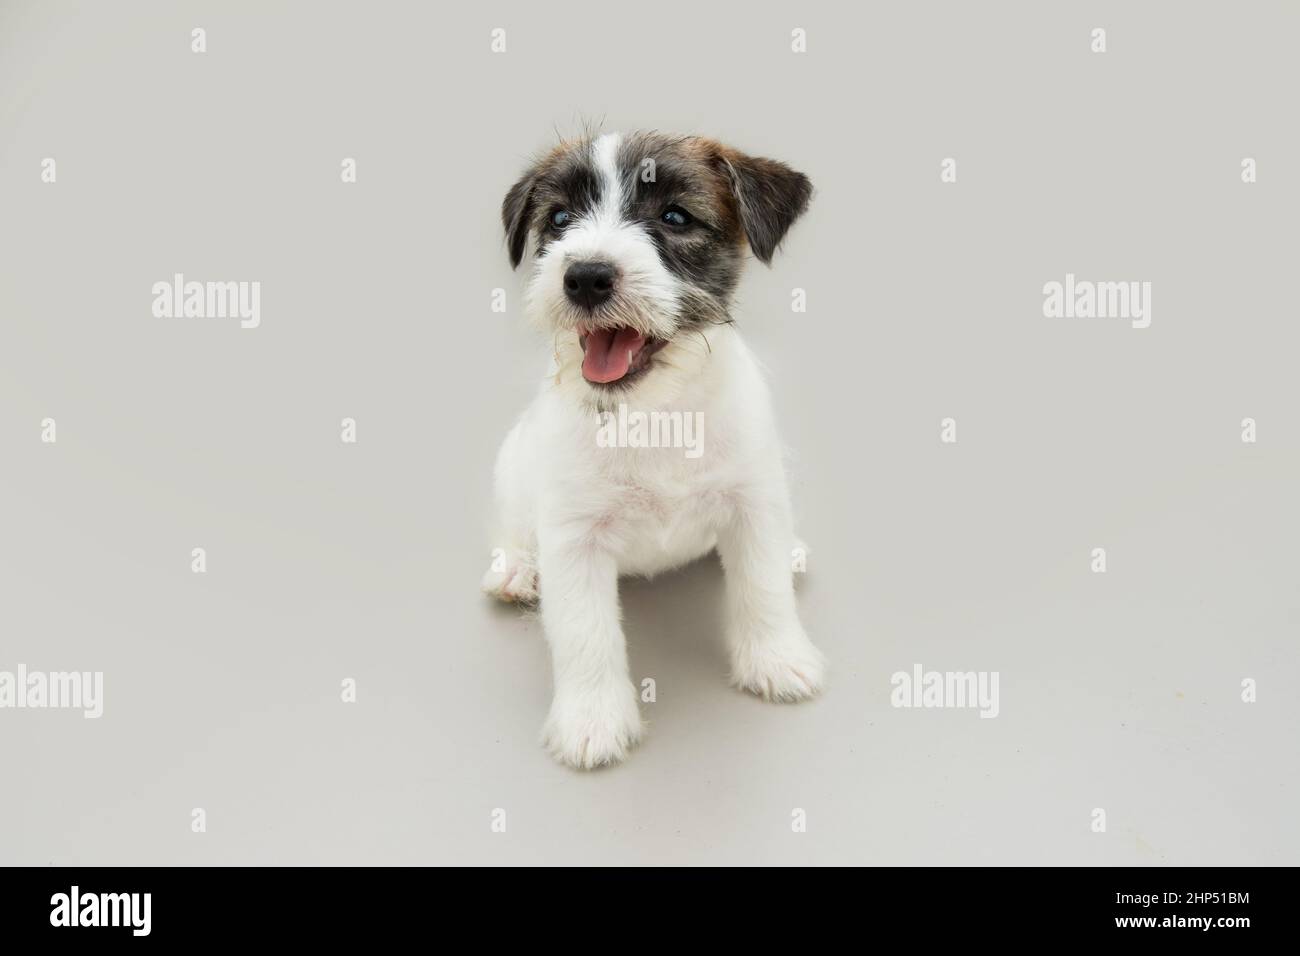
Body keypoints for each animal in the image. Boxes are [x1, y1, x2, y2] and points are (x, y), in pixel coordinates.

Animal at [483, 130, 826, 770]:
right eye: (560, 219)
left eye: (675, 217)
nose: (586, 276)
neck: (654, 417)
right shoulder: (573, 539)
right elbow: (585, 633)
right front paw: (592, 721)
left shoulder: (754, 502)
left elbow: (763, 589)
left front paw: (778, 660)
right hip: (514, 466)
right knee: (513, 528)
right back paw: (515, 567)